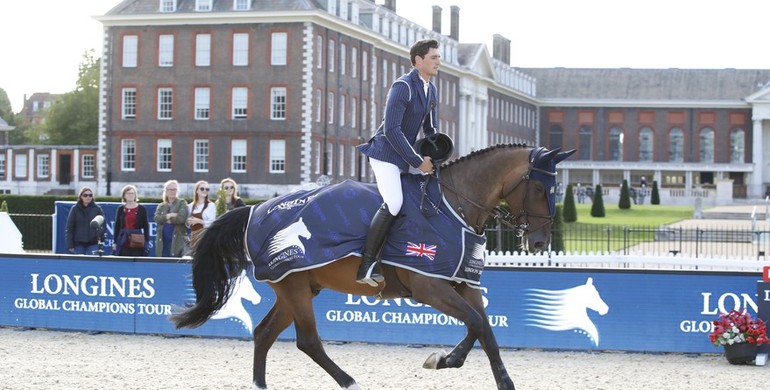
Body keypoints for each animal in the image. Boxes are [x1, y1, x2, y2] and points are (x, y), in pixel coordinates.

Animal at [171, 145, 572, 390]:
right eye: (541, 188)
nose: (539, 243)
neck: (453, 206)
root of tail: (255, 209)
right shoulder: (431, 288)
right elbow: (476, 324)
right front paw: (453, 363)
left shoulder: (463, 284)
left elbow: (484, 329)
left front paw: (452, 362)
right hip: (294, 287)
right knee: (307, 341)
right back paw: (351, 381)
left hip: (296, 287)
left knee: (264, 333)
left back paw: (261, 384)